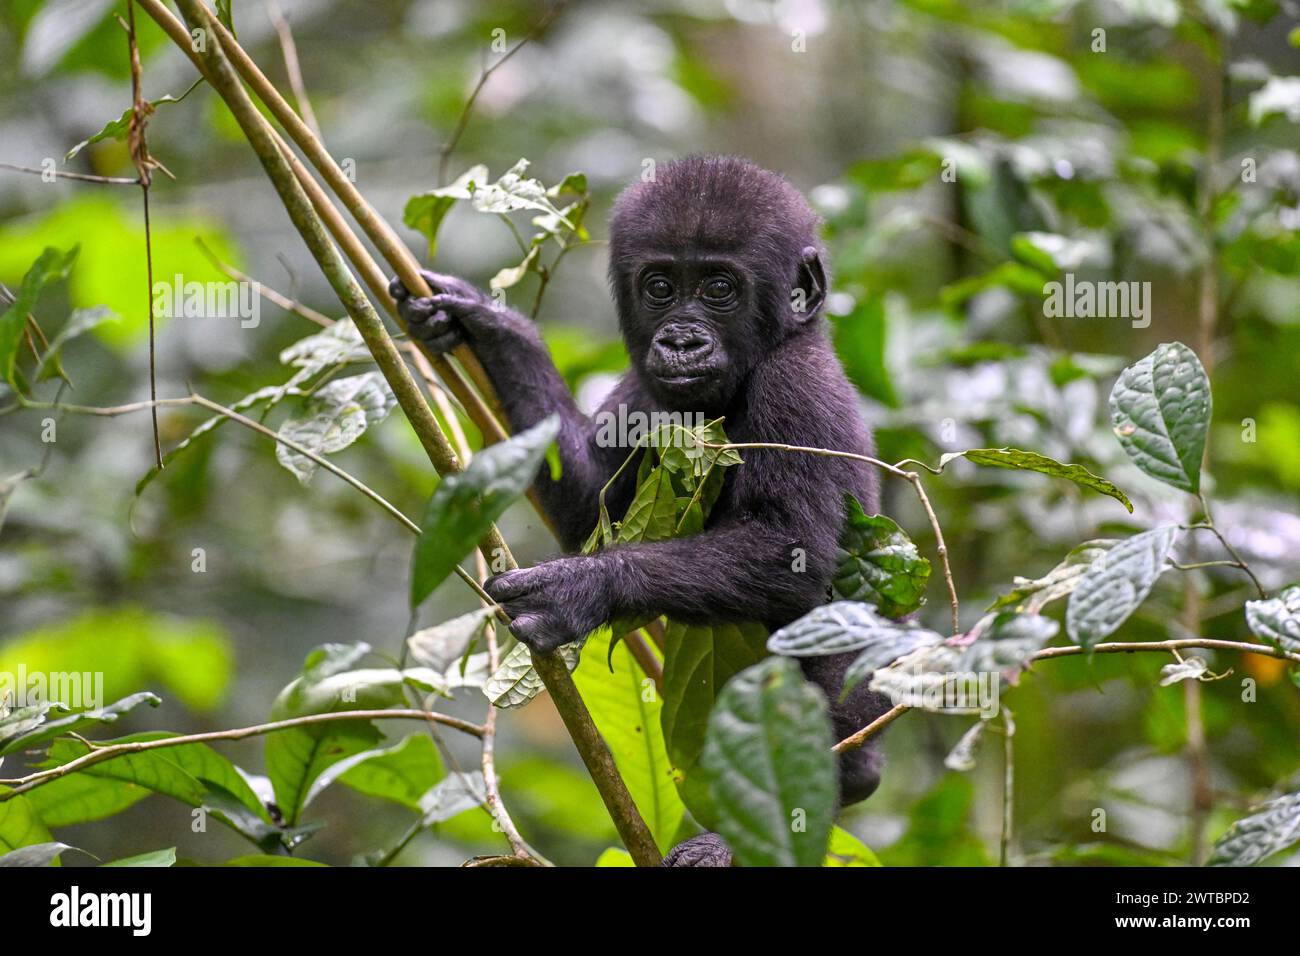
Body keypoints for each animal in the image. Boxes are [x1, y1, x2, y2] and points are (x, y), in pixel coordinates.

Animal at [390, 155, 889, 868]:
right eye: (659, 287)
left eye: (718, 288)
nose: (679, 340)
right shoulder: (640, 390)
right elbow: (583, 500)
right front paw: (491, 328)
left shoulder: (798, 387)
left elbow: (791, 551)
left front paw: (576, 591)